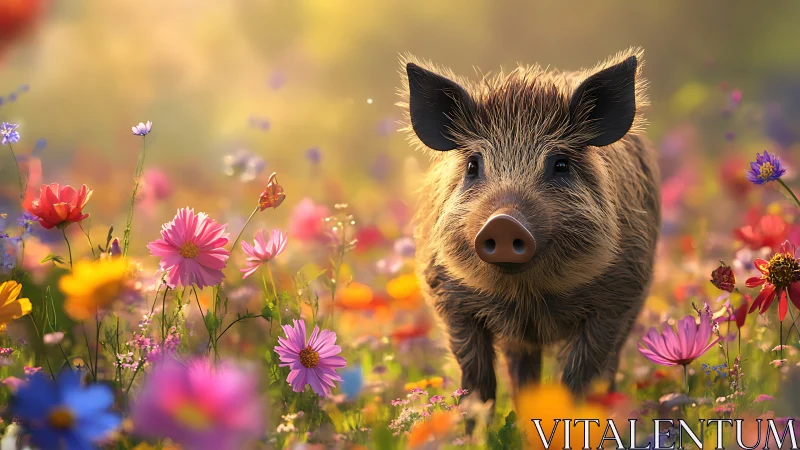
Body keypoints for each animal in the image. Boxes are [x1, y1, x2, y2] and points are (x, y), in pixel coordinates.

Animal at [398, 48, 660, 416]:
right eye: (473, 165)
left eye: (561, 164)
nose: (503, 222)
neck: (527, 296)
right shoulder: (450, 301)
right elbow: (477, 382)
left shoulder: (617, 298)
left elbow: (580, 377)